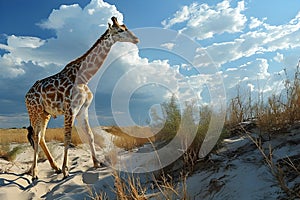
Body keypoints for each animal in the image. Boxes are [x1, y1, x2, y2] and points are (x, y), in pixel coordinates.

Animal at [24, 16, 139, 180]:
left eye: (126, 27)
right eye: (120, 30)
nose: (136, 39)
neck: (85, 77)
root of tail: (26, 95)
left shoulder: (82, 109)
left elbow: (90, 135)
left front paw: (96, 163)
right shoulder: (70, 109)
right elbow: (67, 137)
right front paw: (66, 170)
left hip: (45, 114)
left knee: (41, 137)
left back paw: (54, 167)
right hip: (34, 112)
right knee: (35, 136)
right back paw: (35, 173)